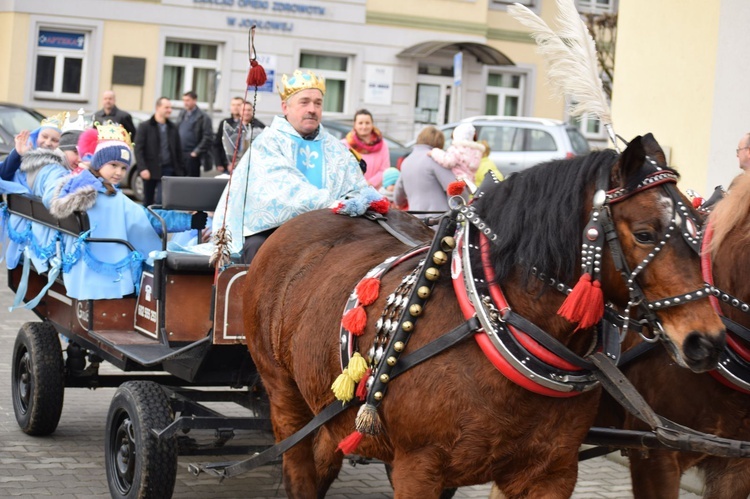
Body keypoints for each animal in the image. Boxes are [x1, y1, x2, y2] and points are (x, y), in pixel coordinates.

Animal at [244, 134, 724, 499]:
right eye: (644, 233)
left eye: (701, 228)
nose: (707, 341)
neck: (493, 327)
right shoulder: (417, 469)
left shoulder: (550, 474)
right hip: (285, 396)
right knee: (299, 468)